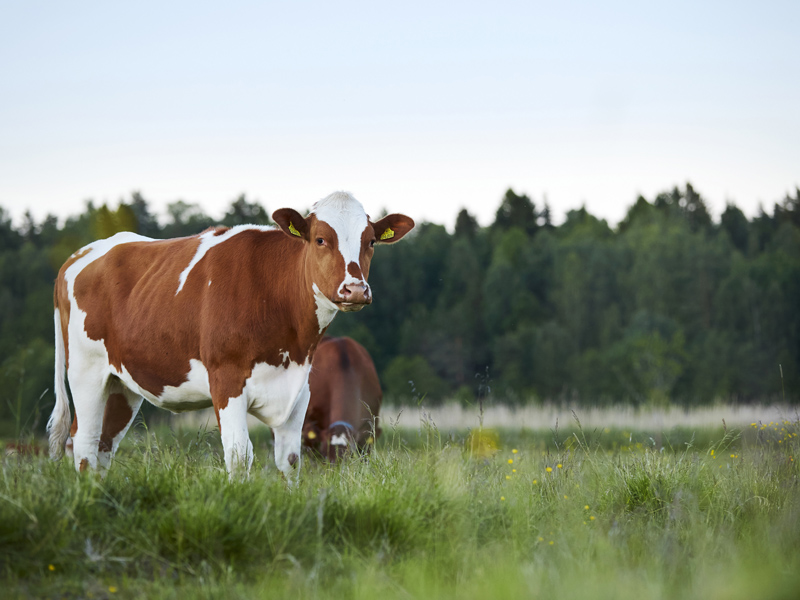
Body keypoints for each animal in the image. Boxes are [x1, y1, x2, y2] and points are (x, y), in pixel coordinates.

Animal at [47, 195, 416, 480]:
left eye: (370, 242)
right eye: (321, 240)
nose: (356, 289)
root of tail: (80, 255)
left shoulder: (300, 389)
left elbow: (290, 460)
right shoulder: (226, 379)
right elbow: (240, 455)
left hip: (121, 384)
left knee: (103, 445)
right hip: (86, 372)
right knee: (83, 443)